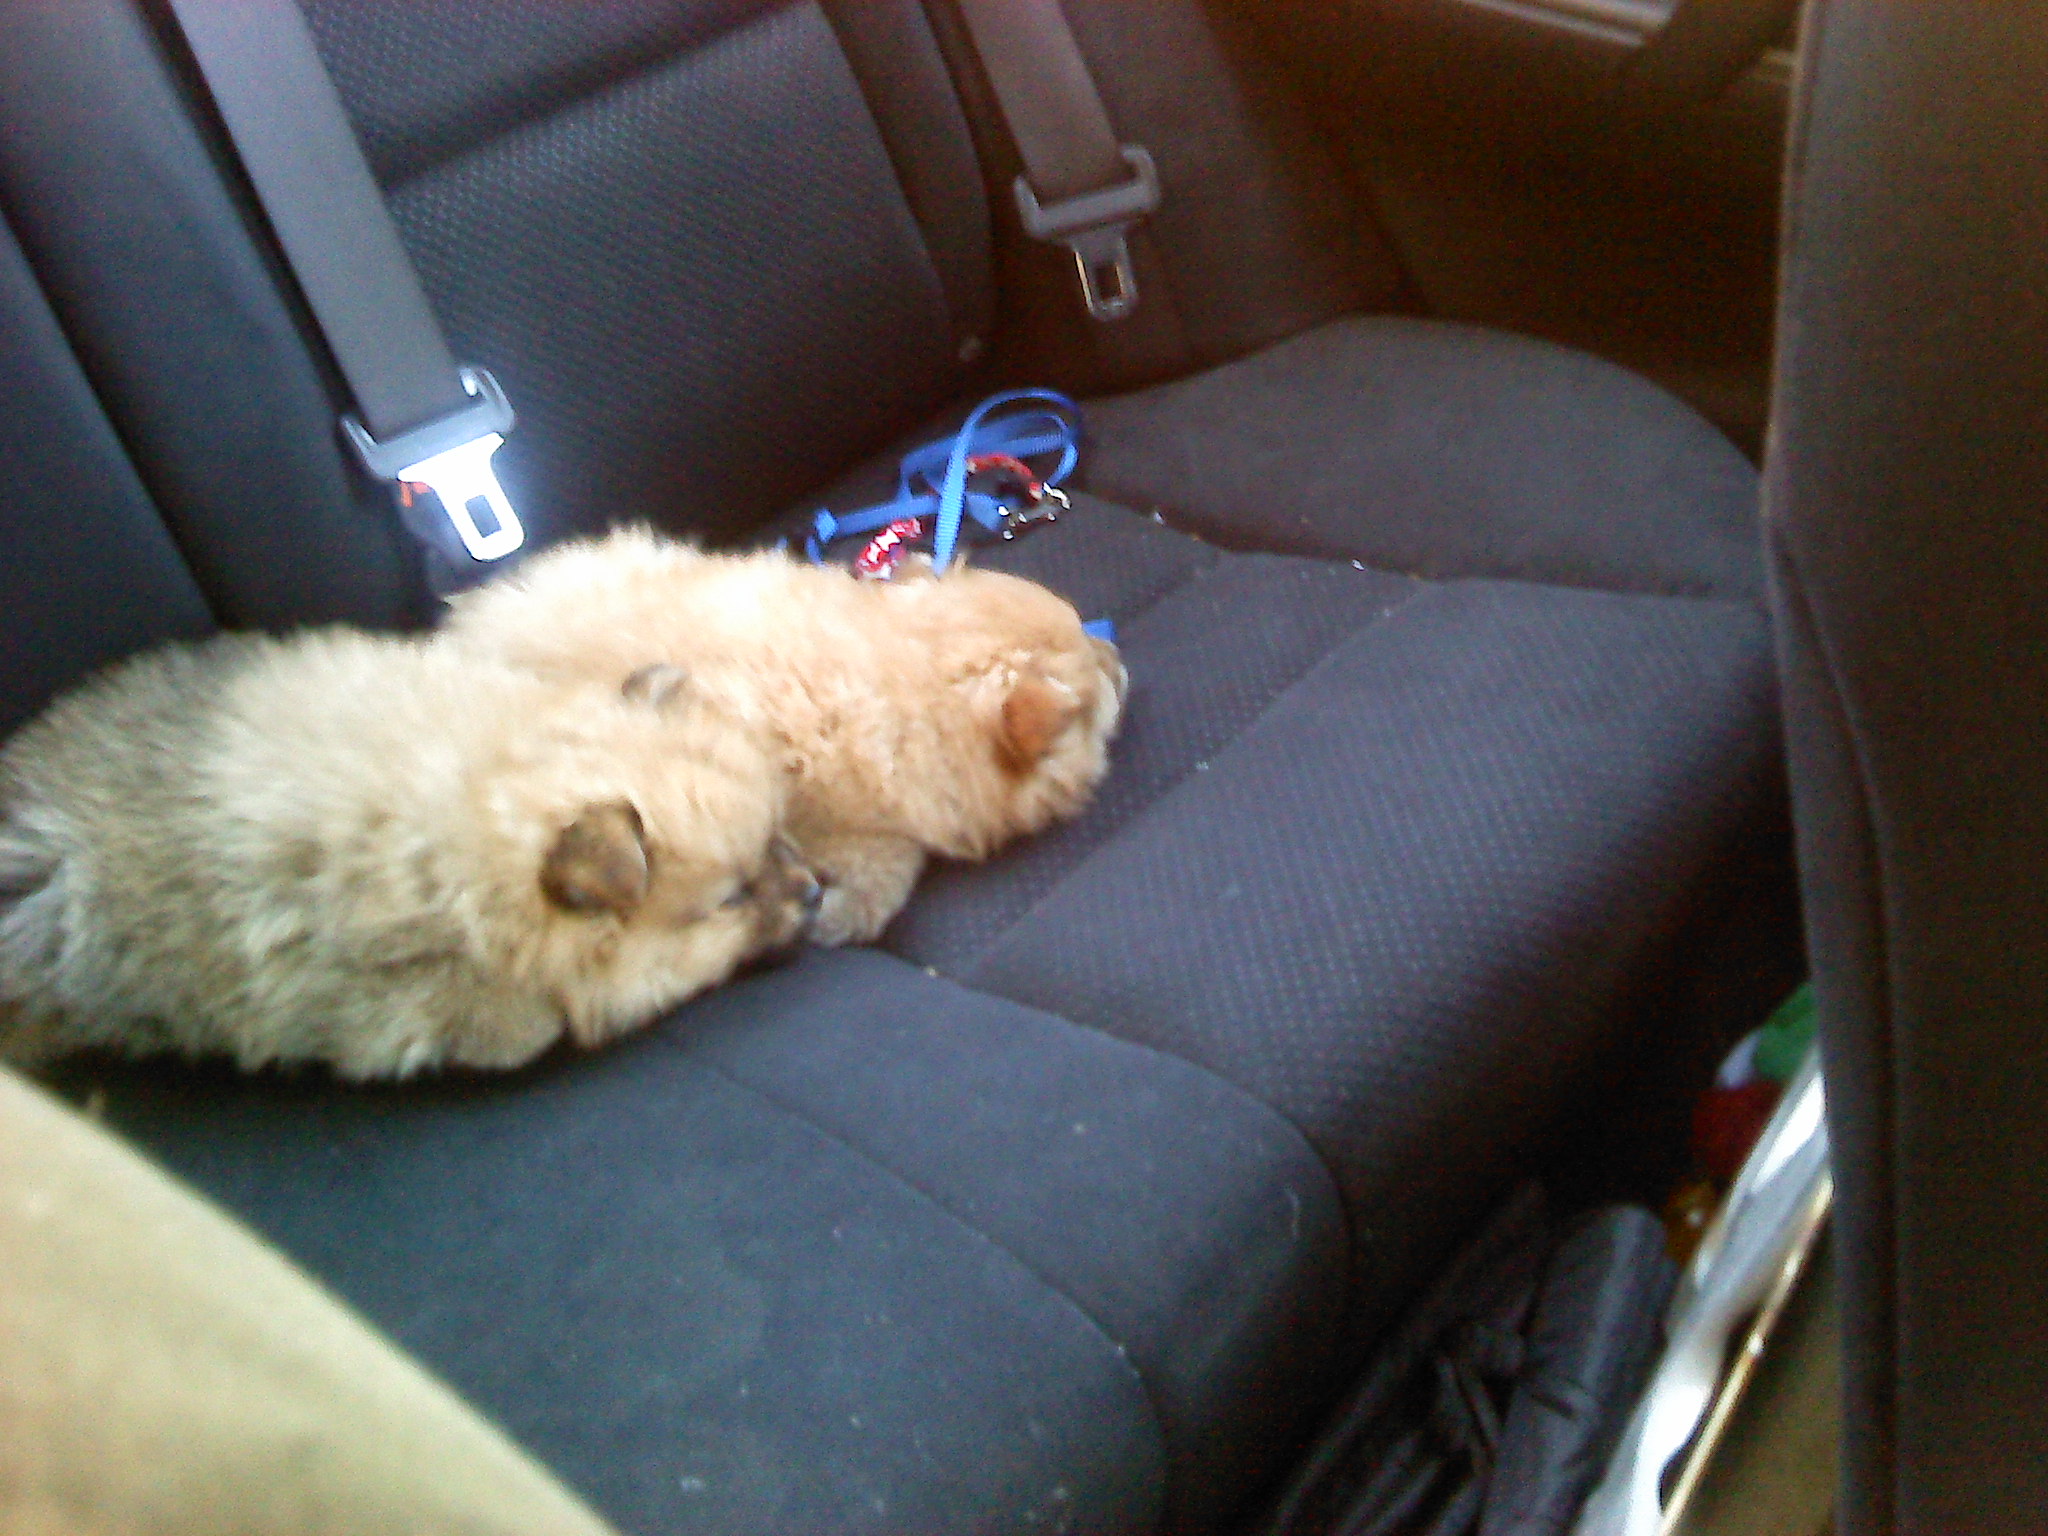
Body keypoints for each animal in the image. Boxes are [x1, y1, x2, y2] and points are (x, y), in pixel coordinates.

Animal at [0, 626, 815, 1081]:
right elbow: (508, 1019)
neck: (483, 780)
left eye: (780, 832)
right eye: (733, 899)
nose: (813, 890)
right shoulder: (354, 988)